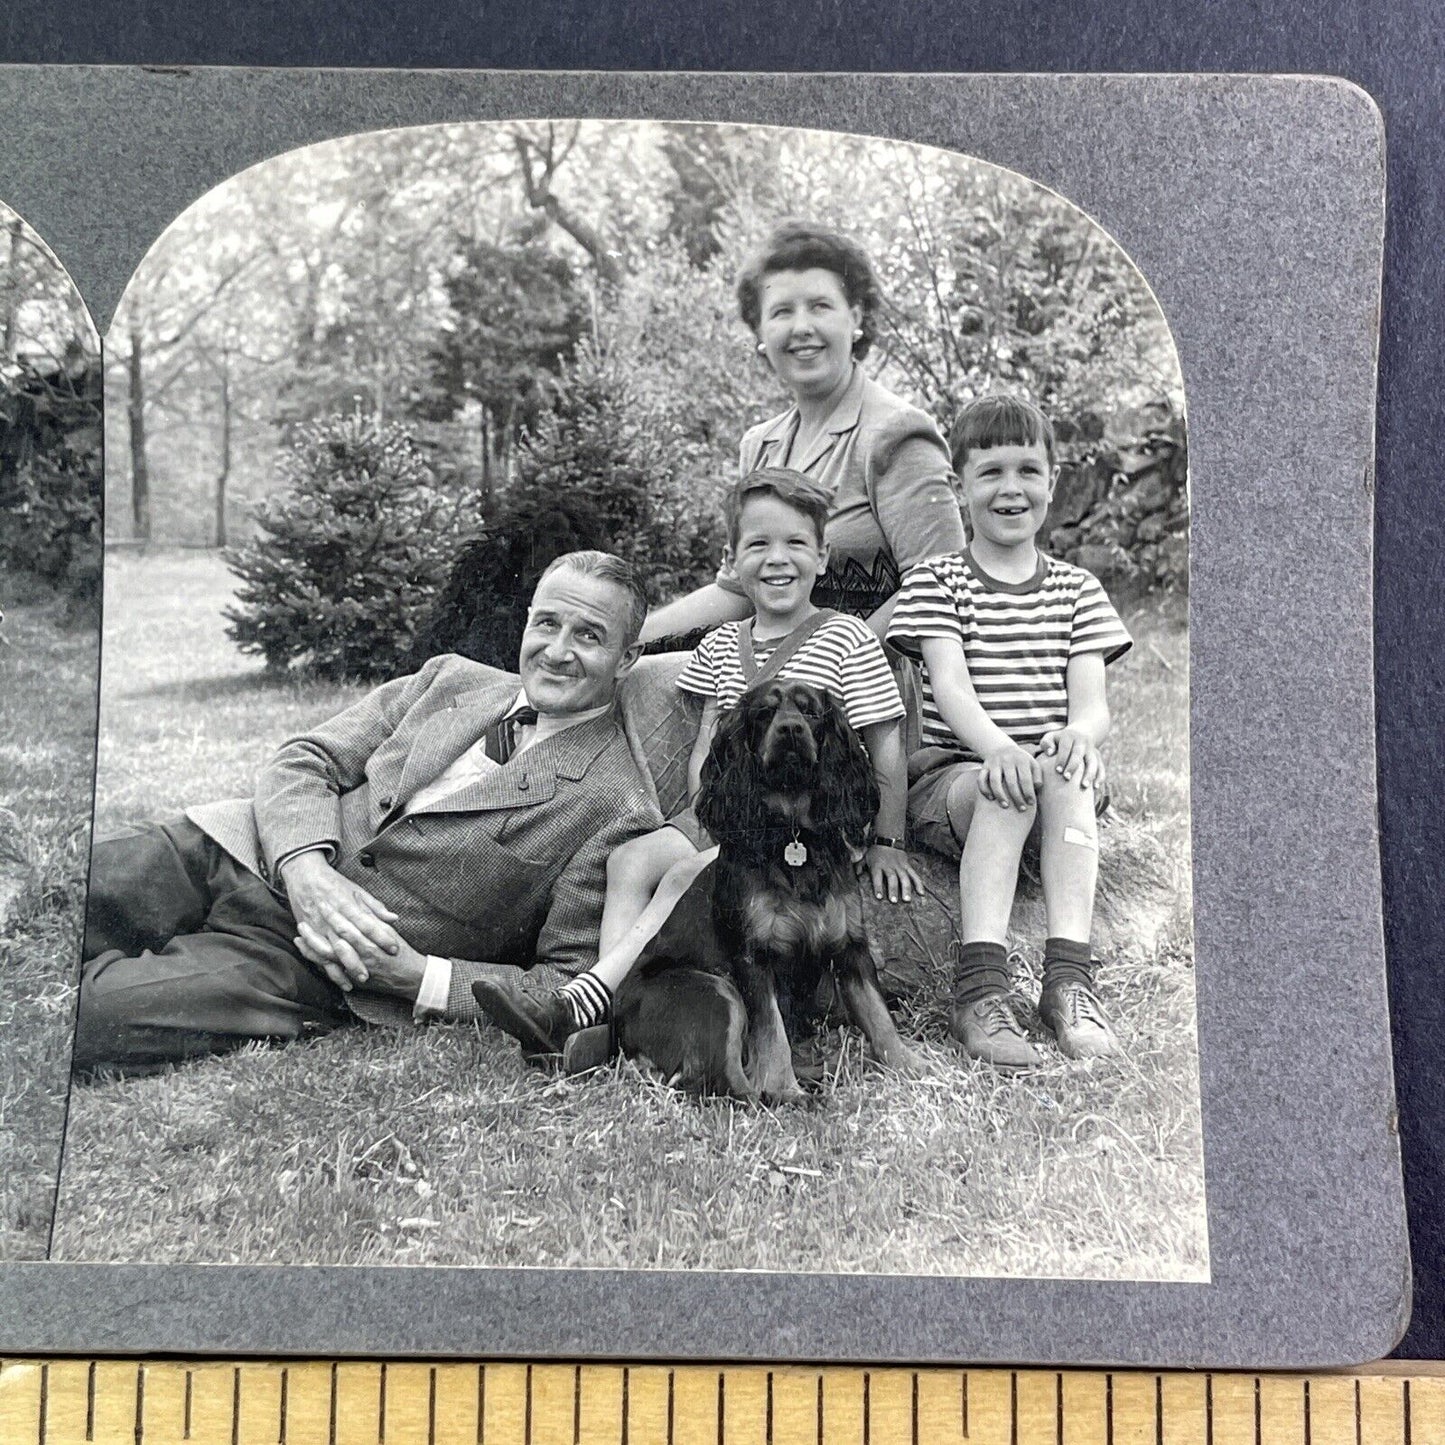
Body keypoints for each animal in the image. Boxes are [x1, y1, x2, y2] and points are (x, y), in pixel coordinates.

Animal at [615, 682, 919, 1098]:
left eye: (810, 713)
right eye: (764, 713)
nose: (790, 729)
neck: (793, 837)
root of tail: (620, 1031)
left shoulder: (849, 948)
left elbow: (879, 1015)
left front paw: (912, 1066)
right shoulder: (754, 959)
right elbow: (772, 1033)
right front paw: (783, 1089)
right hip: (714, 991)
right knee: (726, 1080)